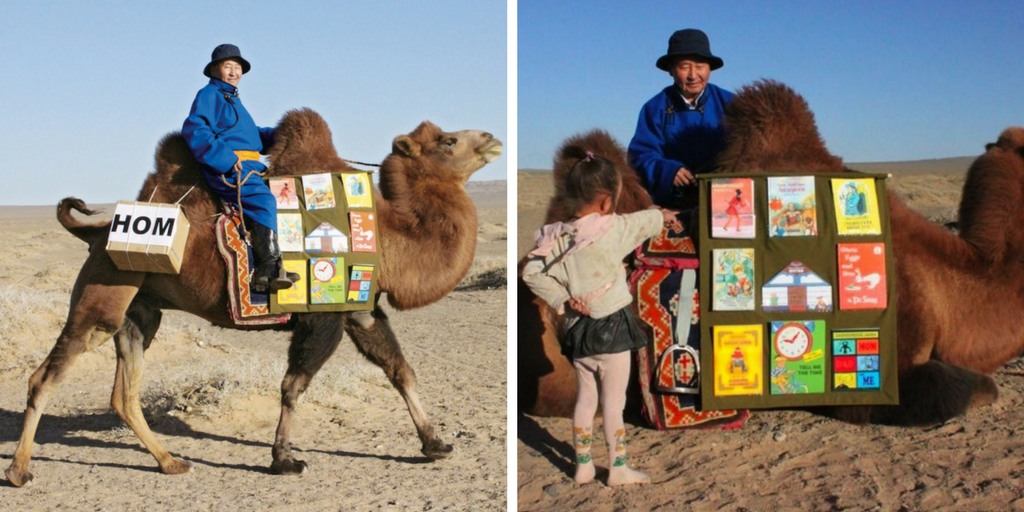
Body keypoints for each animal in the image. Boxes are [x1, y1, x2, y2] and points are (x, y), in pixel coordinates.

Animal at [6, 109, 501, 487]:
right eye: (448, 141)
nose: (493, 137)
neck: (390, 235)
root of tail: (93, 232)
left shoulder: (360, 309)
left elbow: (401, 371)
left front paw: (436, 443)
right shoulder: (323, 318)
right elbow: (293, 386)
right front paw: (284, 460)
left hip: (139, 312)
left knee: (124, 394)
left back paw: (171, 462)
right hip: (102, 297)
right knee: (46, 377)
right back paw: (19, 471)